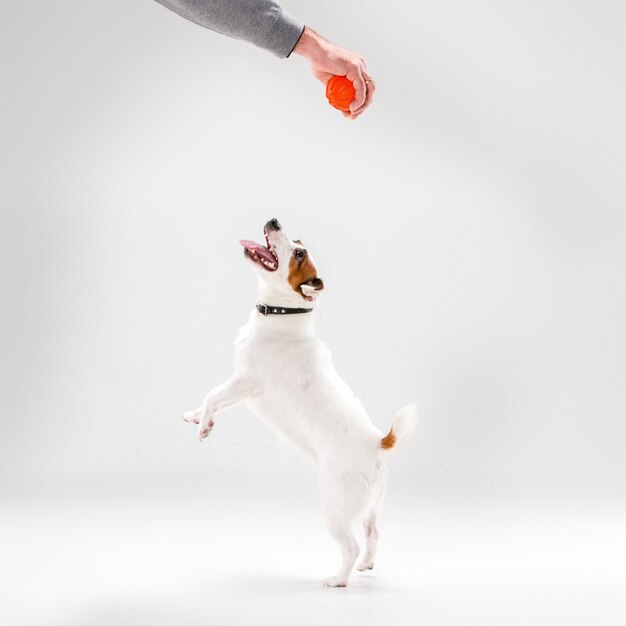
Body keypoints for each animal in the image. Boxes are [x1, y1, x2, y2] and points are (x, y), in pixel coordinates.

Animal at [183, 217, 416, 584]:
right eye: (299, 243)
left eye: (298, 253)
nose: (274, 220)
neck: (283, 313)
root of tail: (378, 445)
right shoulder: (242, 388)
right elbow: (214, 398)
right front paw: (195, 415)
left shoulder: (246, 382)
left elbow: (213, 395)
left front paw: (204, 425)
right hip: (371, 506)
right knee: (373, 533)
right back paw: (366, 565)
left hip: (335, 508)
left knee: (350, 545)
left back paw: (338, 579)